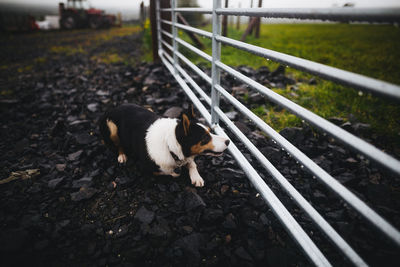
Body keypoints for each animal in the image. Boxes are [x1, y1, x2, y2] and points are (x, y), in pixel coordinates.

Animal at [99, 103, 230, 187]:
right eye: (204, 138)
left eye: (210, 131)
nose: (228, 141)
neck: (169, 146)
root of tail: (113, 108)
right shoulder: (146, 168)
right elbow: (169, 172)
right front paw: (177, 171)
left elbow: (191, 163)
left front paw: (196, 177)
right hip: (111, 127)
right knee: (118, 145)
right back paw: (122, 155)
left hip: (149, 108)